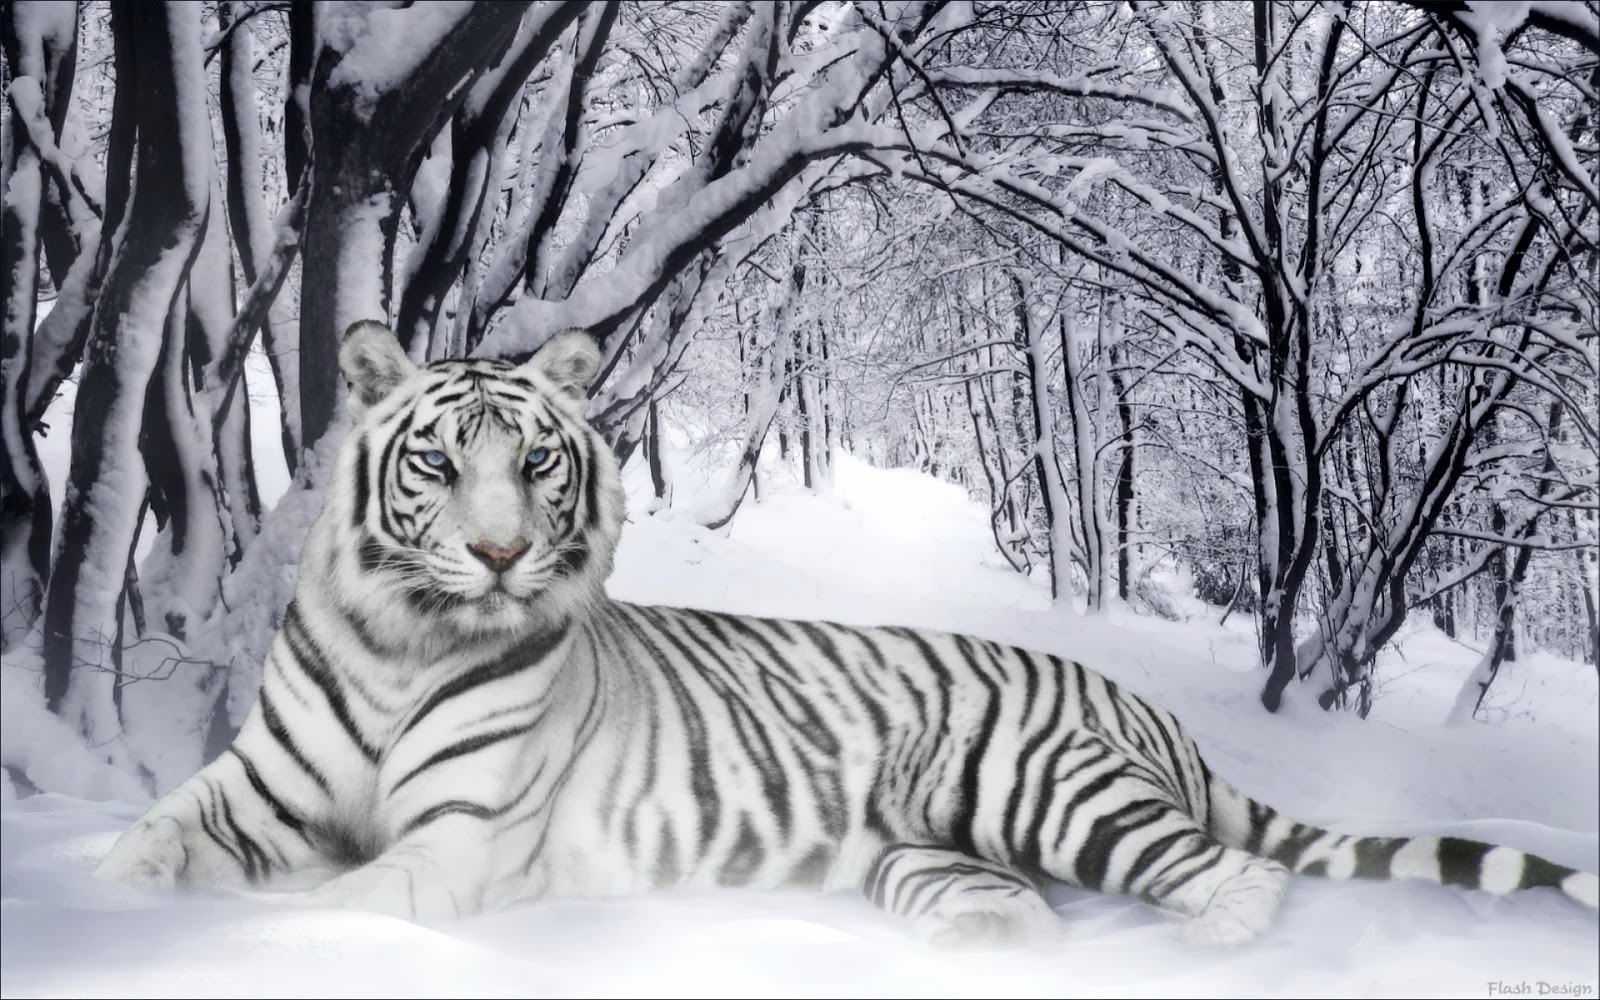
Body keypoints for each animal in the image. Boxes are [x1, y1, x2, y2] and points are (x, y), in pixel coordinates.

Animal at [94, 319, 1599, 948]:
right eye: (438, 462)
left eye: (536, 464)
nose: (504, 554)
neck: (404, 640)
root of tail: (1143, 704)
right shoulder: (249, 792)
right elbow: (146, 846)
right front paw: (107, 912)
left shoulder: (456, 842)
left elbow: (337, 904)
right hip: (924, 851)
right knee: (1019, 904)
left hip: (1046, 787)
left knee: (1234, 874)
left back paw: (1208, 949)